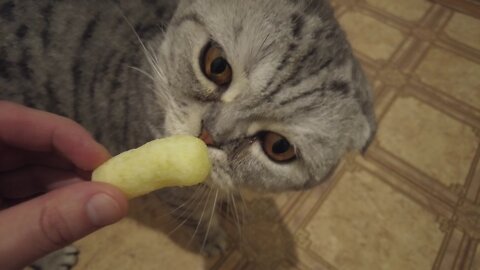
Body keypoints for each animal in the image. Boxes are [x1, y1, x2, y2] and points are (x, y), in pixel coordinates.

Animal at [0, 0, 376, 268]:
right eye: (217, 65)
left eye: (278, 146)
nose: (210, 134)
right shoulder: (175, 195)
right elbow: (196, 218)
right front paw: (212, 237)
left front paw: (228, 200)